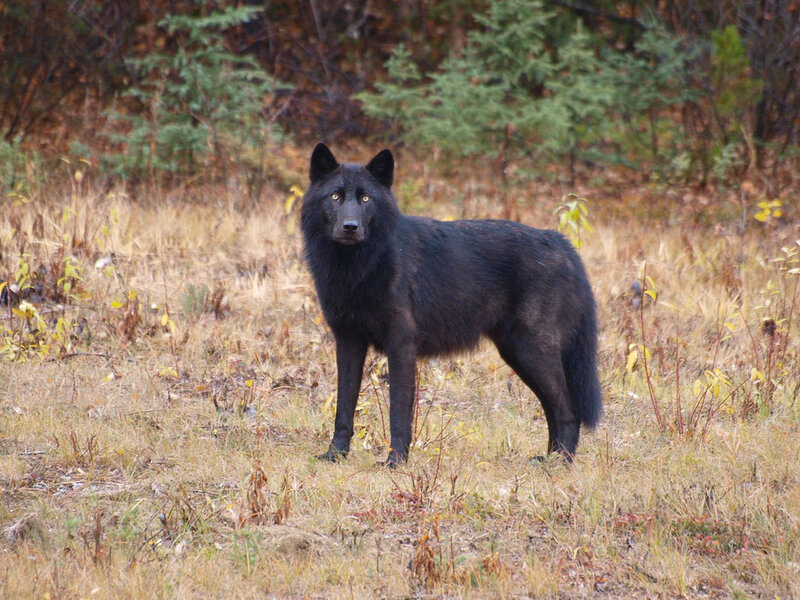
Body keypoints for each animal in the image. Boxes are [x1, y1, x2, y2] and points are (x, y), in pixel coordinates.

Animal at [301, 143, 601, 466]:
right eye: (335, 196)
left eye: (366, 198)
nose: (350, 227)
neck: (361, 268)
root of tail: (561, 243)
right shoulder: (348, 343)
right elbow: (344, 408)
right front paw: (335, 454)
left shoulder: (401, 345)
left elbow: (398, 413)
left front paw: (396, 462)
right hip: (519, 355)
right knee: (553, 408)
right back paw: (549, 458)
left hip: (532, 351)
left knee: (567, 410)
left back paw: (560, 463)